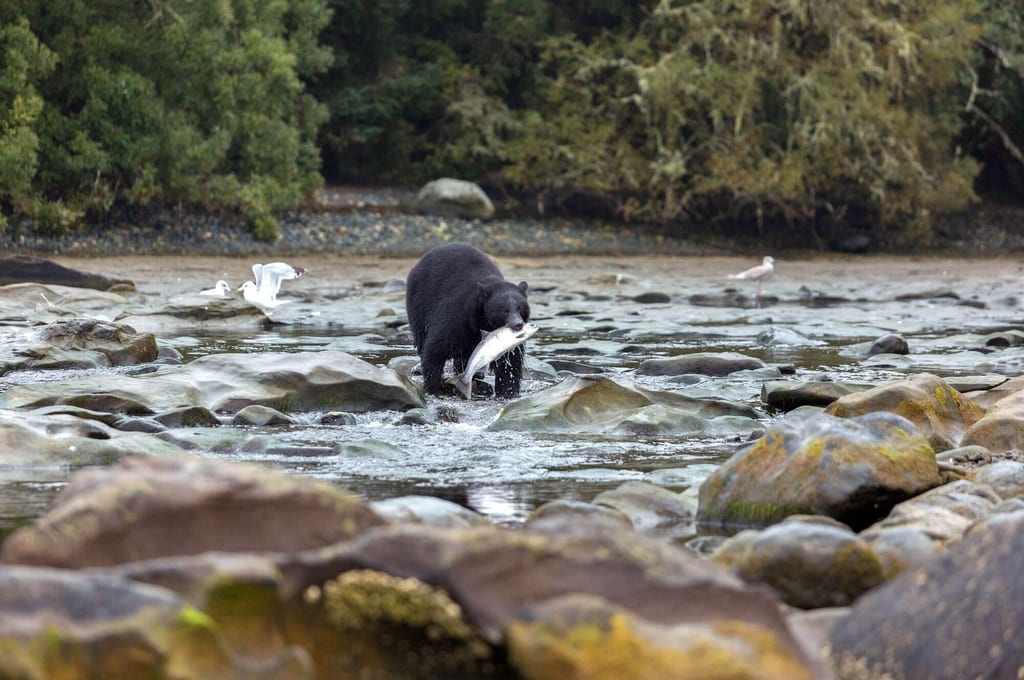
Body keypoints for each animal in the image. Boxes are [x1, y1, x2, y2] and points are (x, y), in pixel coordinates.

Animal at [405, 242, 530, 398]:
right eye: (505, 310)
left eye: (520, 308)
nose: (518, 324)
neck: (482, 321)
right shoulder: (458, 316)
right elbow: (436, 349)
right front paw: (434, 388)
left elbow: (511, 362)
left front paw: (508, 392)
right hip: (419, 303)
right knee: (422, 338)